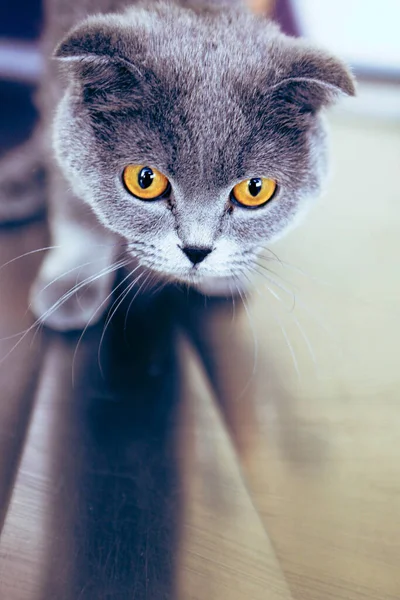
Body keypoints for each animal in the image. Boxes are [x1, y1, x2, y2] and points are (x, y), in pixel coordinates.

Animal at [1, 0, 354, 330]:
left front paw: (228, 274)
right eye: (145, 179)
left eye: (255, 189)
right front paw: (70, 286)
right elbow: (77, 212)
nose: (197, 251)